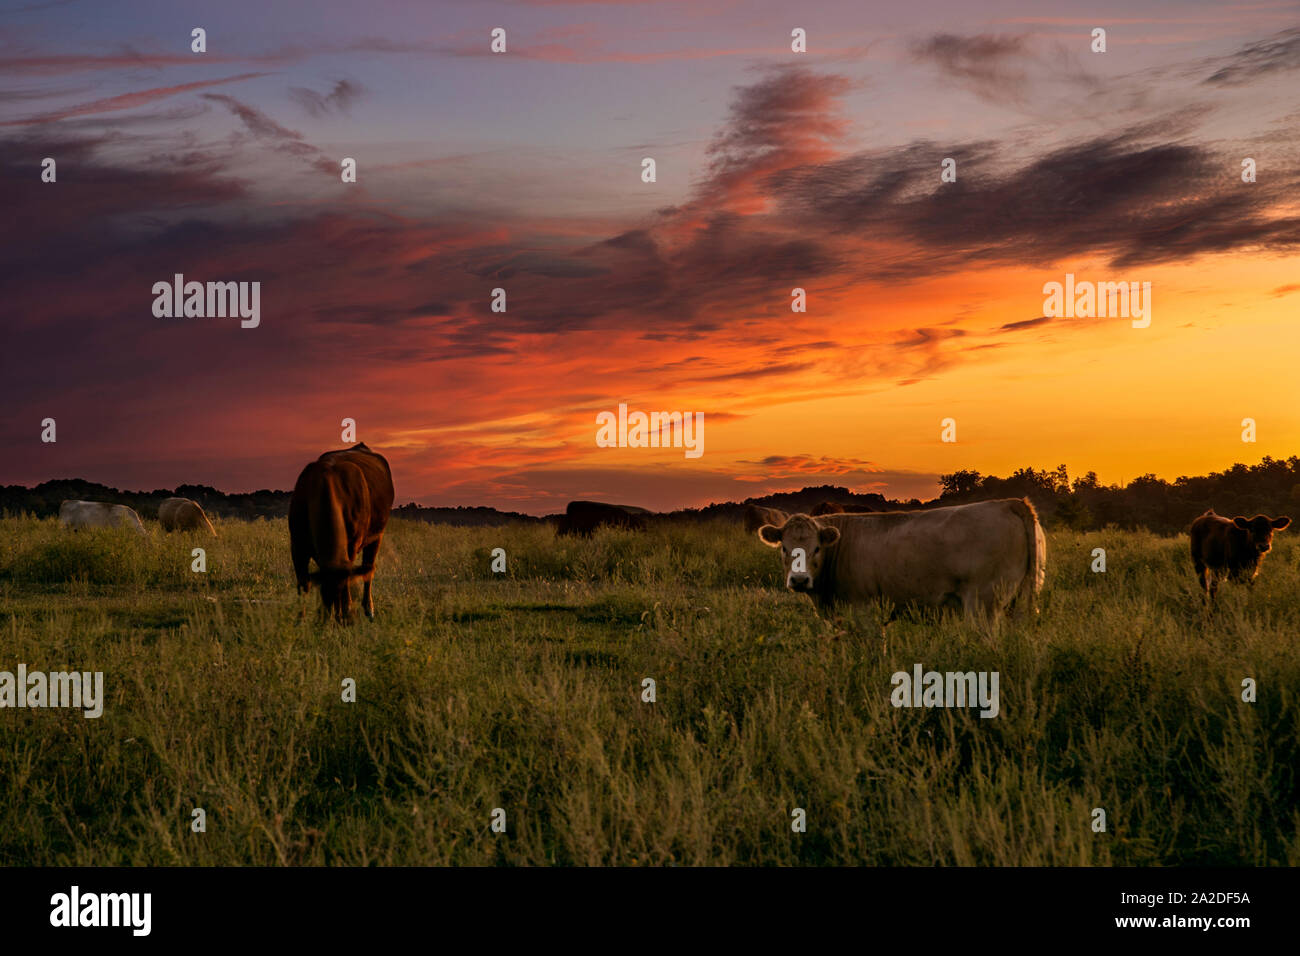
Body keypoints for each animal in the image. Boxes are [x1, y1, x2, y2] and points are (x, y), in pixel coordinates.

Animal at [291, 444, 395, 624]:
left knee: (368, 571)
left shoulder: (351, 546)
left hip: (377, 536)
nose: (326, 619)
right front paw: (300, 620)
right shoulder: (297, 546)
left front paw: (344, 614)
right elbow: (303, 585)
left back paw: (368, 610)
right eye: (324, 591)